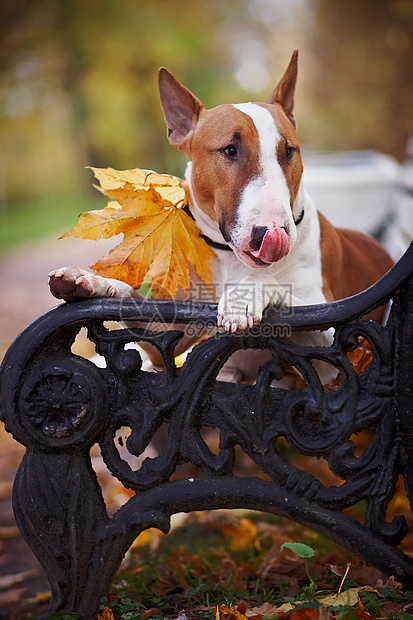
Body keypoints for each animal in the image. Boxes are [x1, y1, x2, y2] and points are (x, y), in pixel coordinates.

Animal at [48, 52, 392, 382]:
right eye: (230, 150)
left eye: (289, 151)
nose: (269, 232)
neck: (230, 261)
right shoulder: (165, 343)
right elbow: (133, 303)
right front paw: (87, 282)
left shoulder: (337, 353)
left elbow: (277, 288)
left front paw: (243, 296)